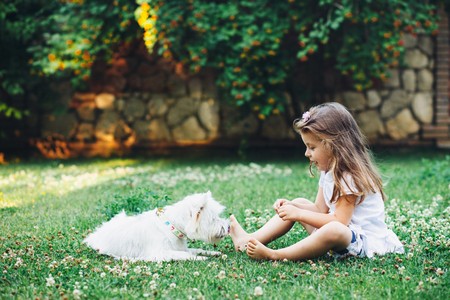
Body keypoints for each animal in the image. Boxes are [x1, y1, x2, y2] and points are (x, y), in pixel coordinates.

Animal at [82, 192, 229, 260]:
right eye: (214, 218)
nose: (228, 227)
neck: (172, 227)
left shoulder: (181, 248)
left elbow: (196, 249)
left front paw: (214, 253)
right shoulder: (159, 253)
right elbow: (186, 255)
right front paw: (201, 258)